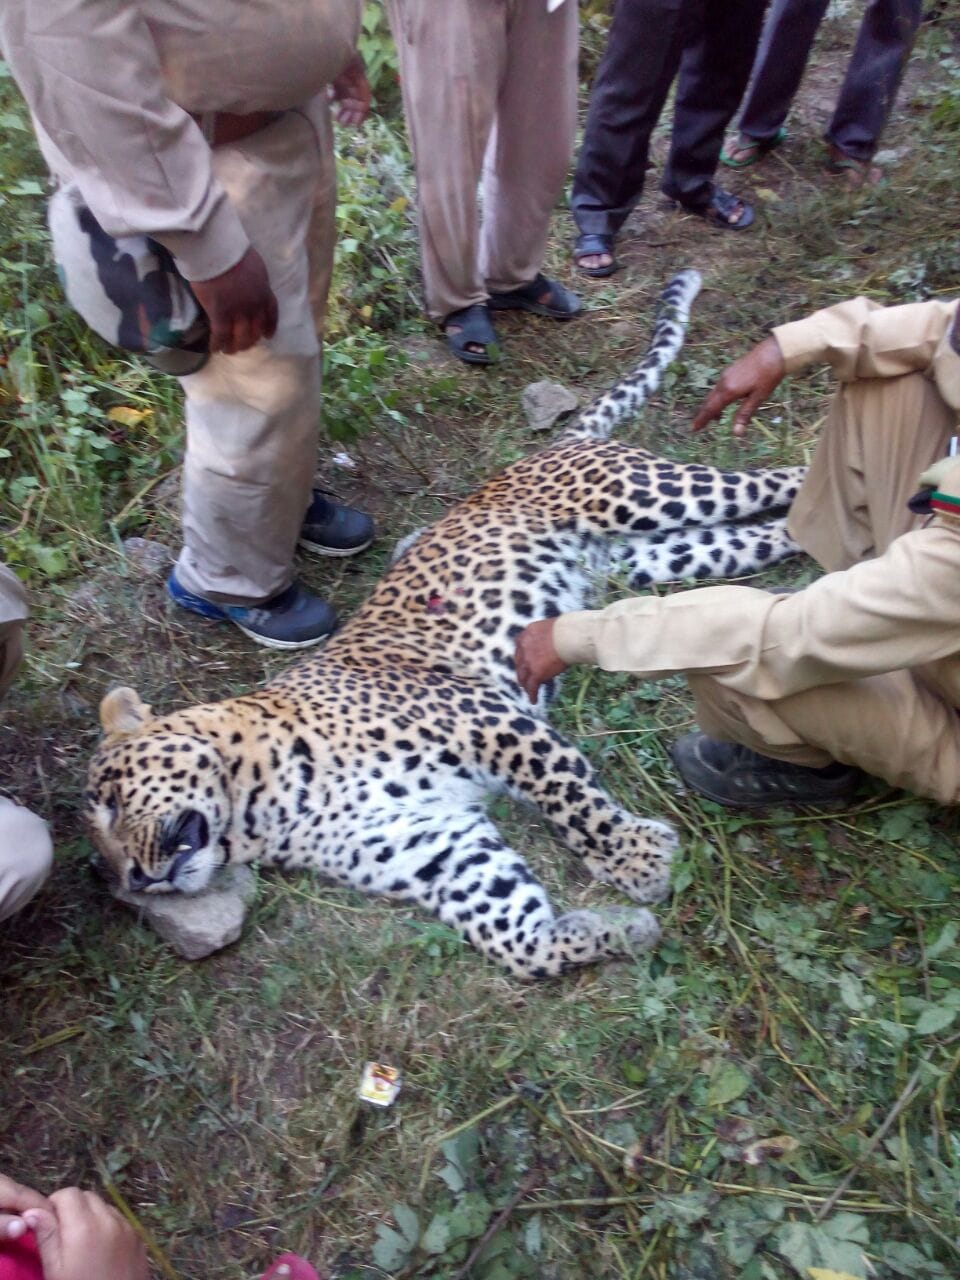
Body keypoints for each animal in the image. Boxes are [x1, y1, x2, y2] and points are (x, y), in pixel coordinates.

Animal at [86, 270, 805, 979]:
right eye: (102, 850)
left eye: (114, 800)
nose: (135, 881)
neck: (262, 806)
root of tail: (545, 451)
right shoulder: (434, 845)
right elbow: (517, 938)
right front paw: (615, 929)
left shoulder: (488, 720)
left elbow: (569, 797)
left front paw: (637, 859)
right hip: (656, 557)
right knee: (761, 534)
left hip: (642, 493)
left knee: (775, 479)